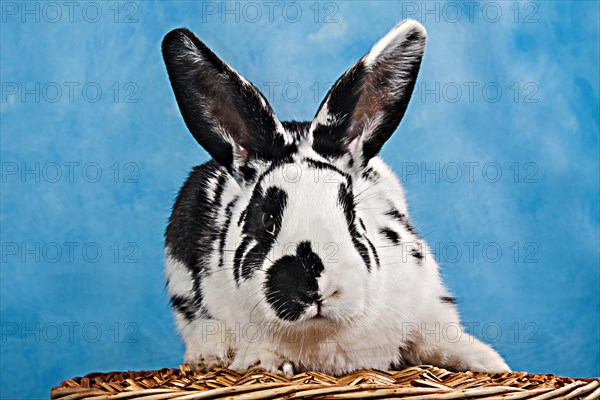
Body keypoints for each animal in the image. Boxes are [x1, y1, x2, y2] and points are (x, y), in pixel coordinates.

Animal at [162, 19, 508, 376]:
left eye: (353, 215)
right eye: (266, 220)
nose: (314, 287)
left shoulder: (426, 301)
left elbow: (437, 337)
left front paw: (489, 362)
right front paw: (264, 361)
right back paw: (207, 358)